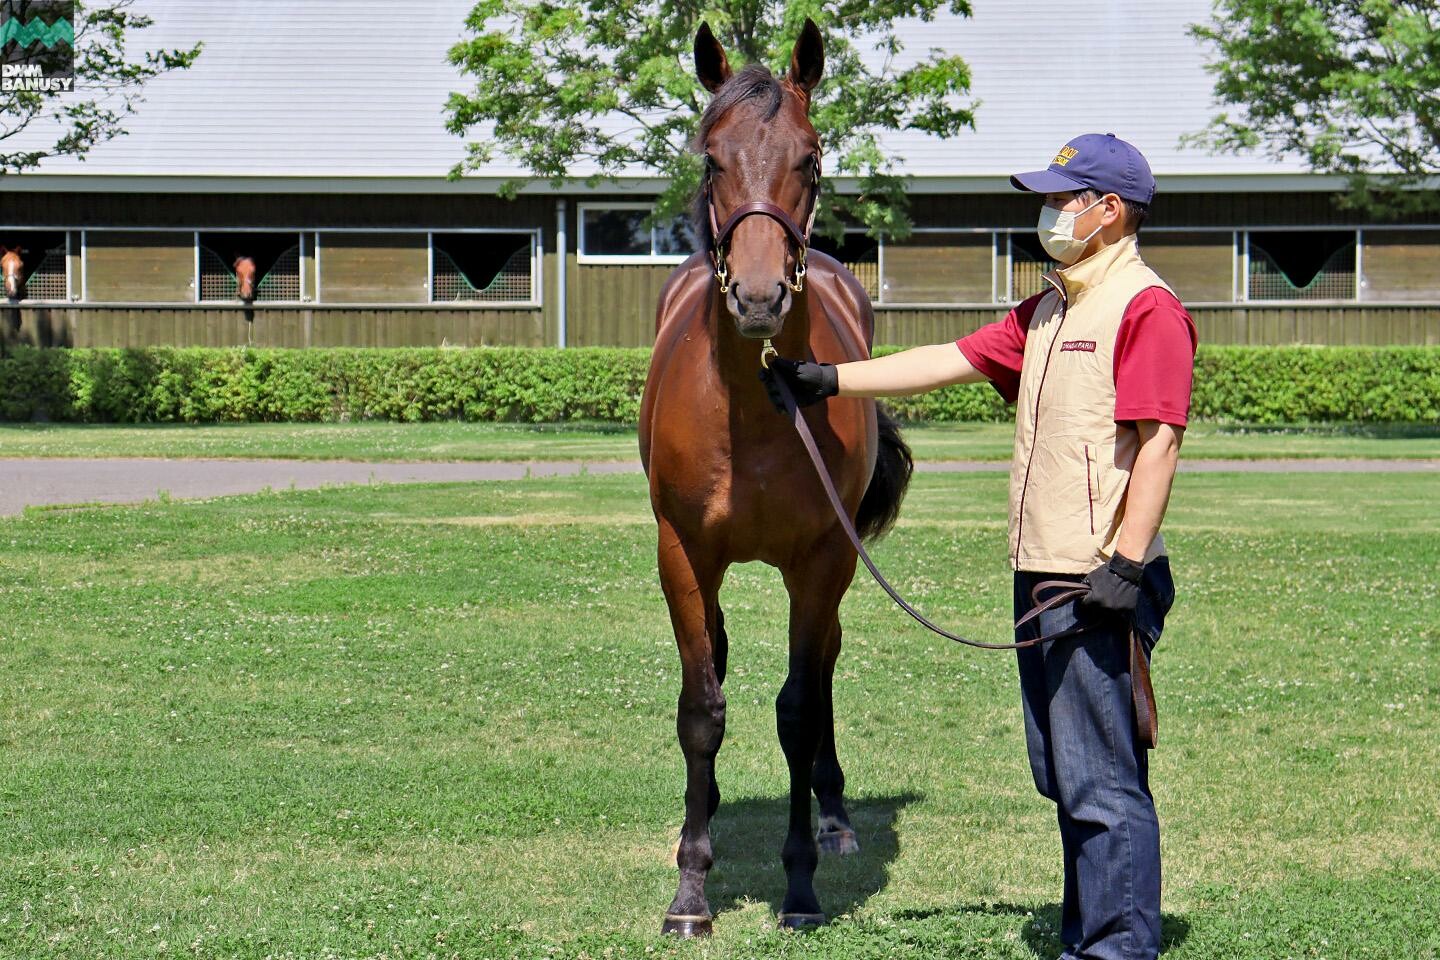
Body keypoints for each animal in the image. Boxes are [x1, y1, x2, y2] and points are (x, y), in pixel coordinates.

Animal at [642, 20, 910, 938]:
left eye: (812, 157)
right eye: (711, 158)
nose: (758, 300)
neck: (753, 413)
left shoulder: (821, 558)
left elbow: (798, 708)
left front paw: (798, 885)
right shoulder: (682, 555)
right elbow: (699, 708)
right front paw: (690, 889)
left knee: (822, 669)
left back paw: (833, 819)